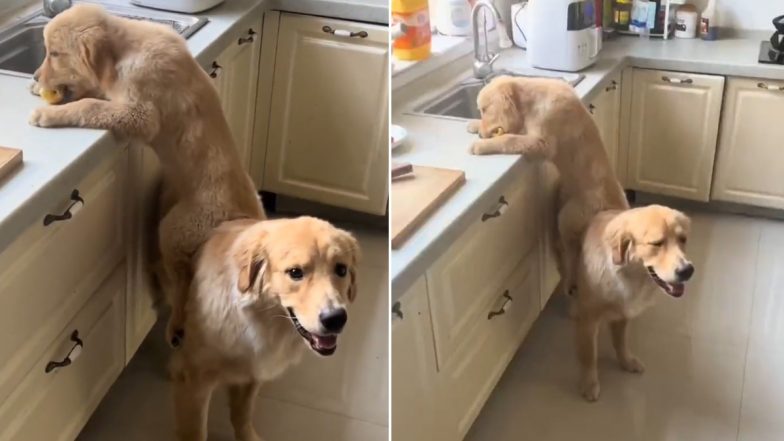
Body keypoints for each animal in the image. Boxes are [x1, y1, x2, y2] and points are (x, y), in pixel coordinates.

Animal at [28, 4, 264, 348]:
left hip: (175, 229)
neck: (125, 51)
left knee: (185, 285)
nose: (33, 76)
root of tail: (241, 218)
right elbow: (95, 91)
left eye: (55, 53)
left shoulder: (140, 113)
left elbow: (90, 105)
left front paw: (48, 113)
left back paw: (175, 327)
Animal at [172, 215, 362, 438]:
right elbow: (196, 432)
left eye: (341, 269)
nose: (335, 319)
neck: (254, 323)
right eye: (295, 272)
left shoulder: (253, 371)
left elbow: (242, 414)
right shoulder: (195, 380)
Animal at [468, 77, 628, 300]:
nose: (482, 134)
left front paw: (481, 145)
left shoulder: (541, 142)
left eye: (484, 109)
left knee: (573, 254)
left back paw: (568, 282)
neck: (531, 100)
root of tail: (613, 205)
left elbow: (510, 139)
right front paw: (473, 125)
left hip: (568, 216)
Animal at [572, 205, 696, 400]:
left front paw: (626, 362)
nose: (687, 270)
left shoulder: (622, 313)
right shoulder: (588, 319)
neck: (625, 276)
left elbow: (620, 342)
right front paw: (590, 383)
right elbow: (589, 354)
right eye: (656, 243)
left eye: (682, 239)